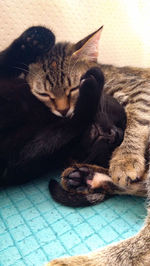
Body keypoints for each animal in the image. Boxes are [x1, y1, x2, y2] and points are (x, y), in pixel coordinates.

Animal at [0, 26, 125, 186]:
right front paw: (37, 37)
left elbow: (73, 123)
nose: (114, 134)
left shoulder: (16, 164)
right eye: (115, 119)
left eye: (112, 148)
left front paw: (93, 84)